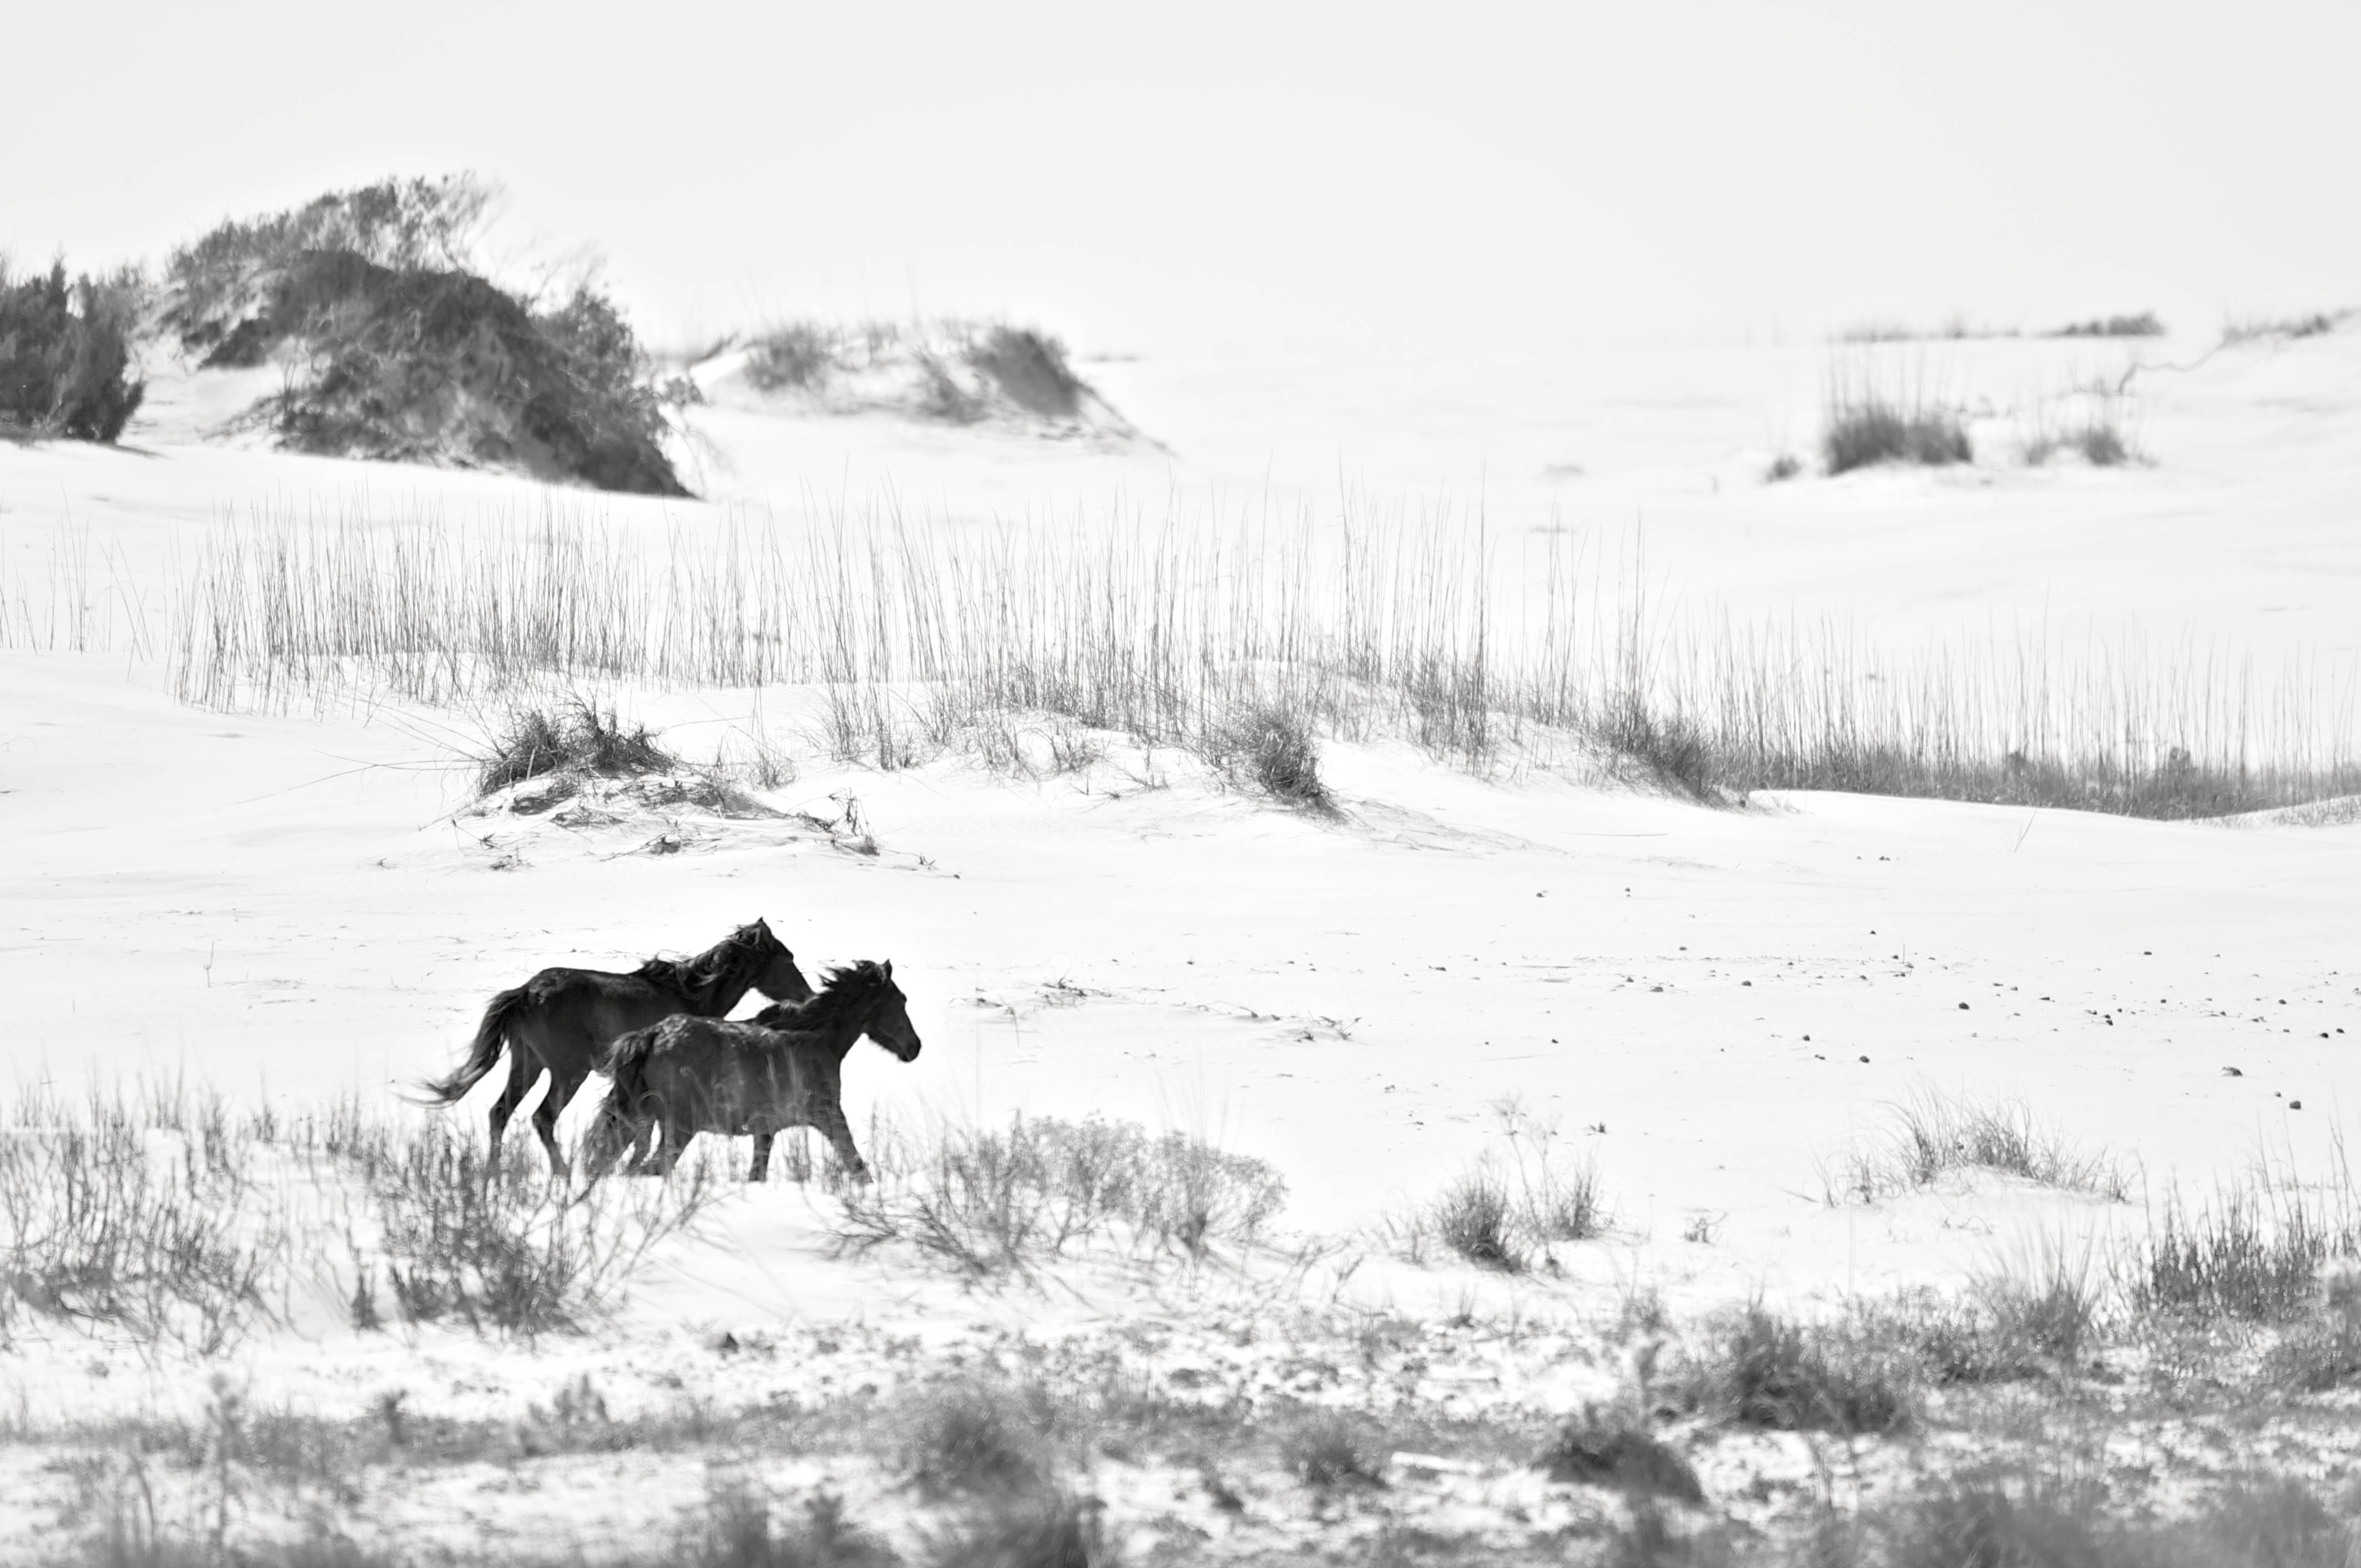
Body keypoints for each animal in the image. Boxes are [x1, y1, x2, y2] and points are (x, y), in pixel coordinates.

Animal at [425, 925, 821, 1171]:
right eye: (787, 958)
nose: (808, 996)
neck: (688, 994)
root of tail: (526, 993)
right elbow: (641, 1136)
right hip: (568, 1072)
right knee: (542, 1118)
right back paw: (562, 1173)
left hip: (528, 1064)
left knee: (500, 1114)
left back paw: (493, 1174)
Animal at [583, 963, 921, 1181]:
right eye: (901, 1000)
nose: (915, 1047)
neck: (818, 1040)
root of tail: (652, 1036)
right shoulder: (828, 1116)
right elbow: (857, 1165)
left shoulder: (765, 1131)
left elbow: (757, 1175)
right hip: (678, 1129)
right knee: (648, 1169)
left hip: (637, 1118)